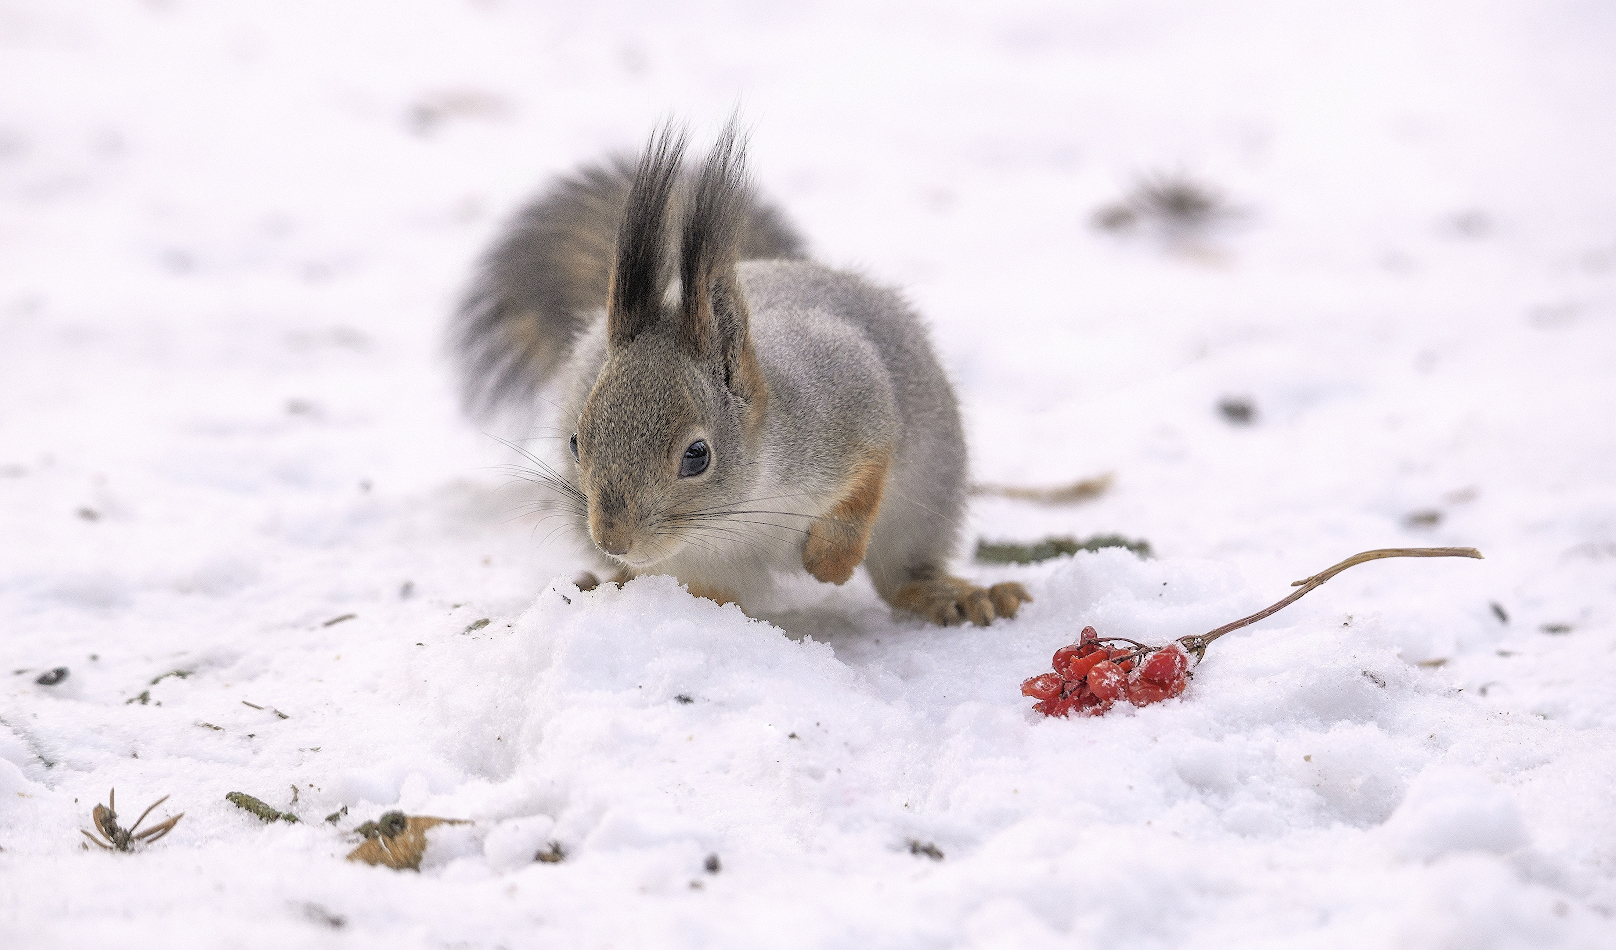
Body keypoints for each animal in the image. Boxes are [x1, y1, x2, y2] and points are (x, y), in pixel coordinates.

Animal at [452, 122, 1034, 626]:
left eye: (697, 455)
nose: (614, 541)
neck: (748, 502)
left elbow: (868, 476)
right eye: (575, 442)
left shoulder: (851, 398)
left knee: (903, 575)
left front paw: (830, 562)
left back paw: (960, 595)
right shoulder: (696, 561)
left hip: (928, 495)